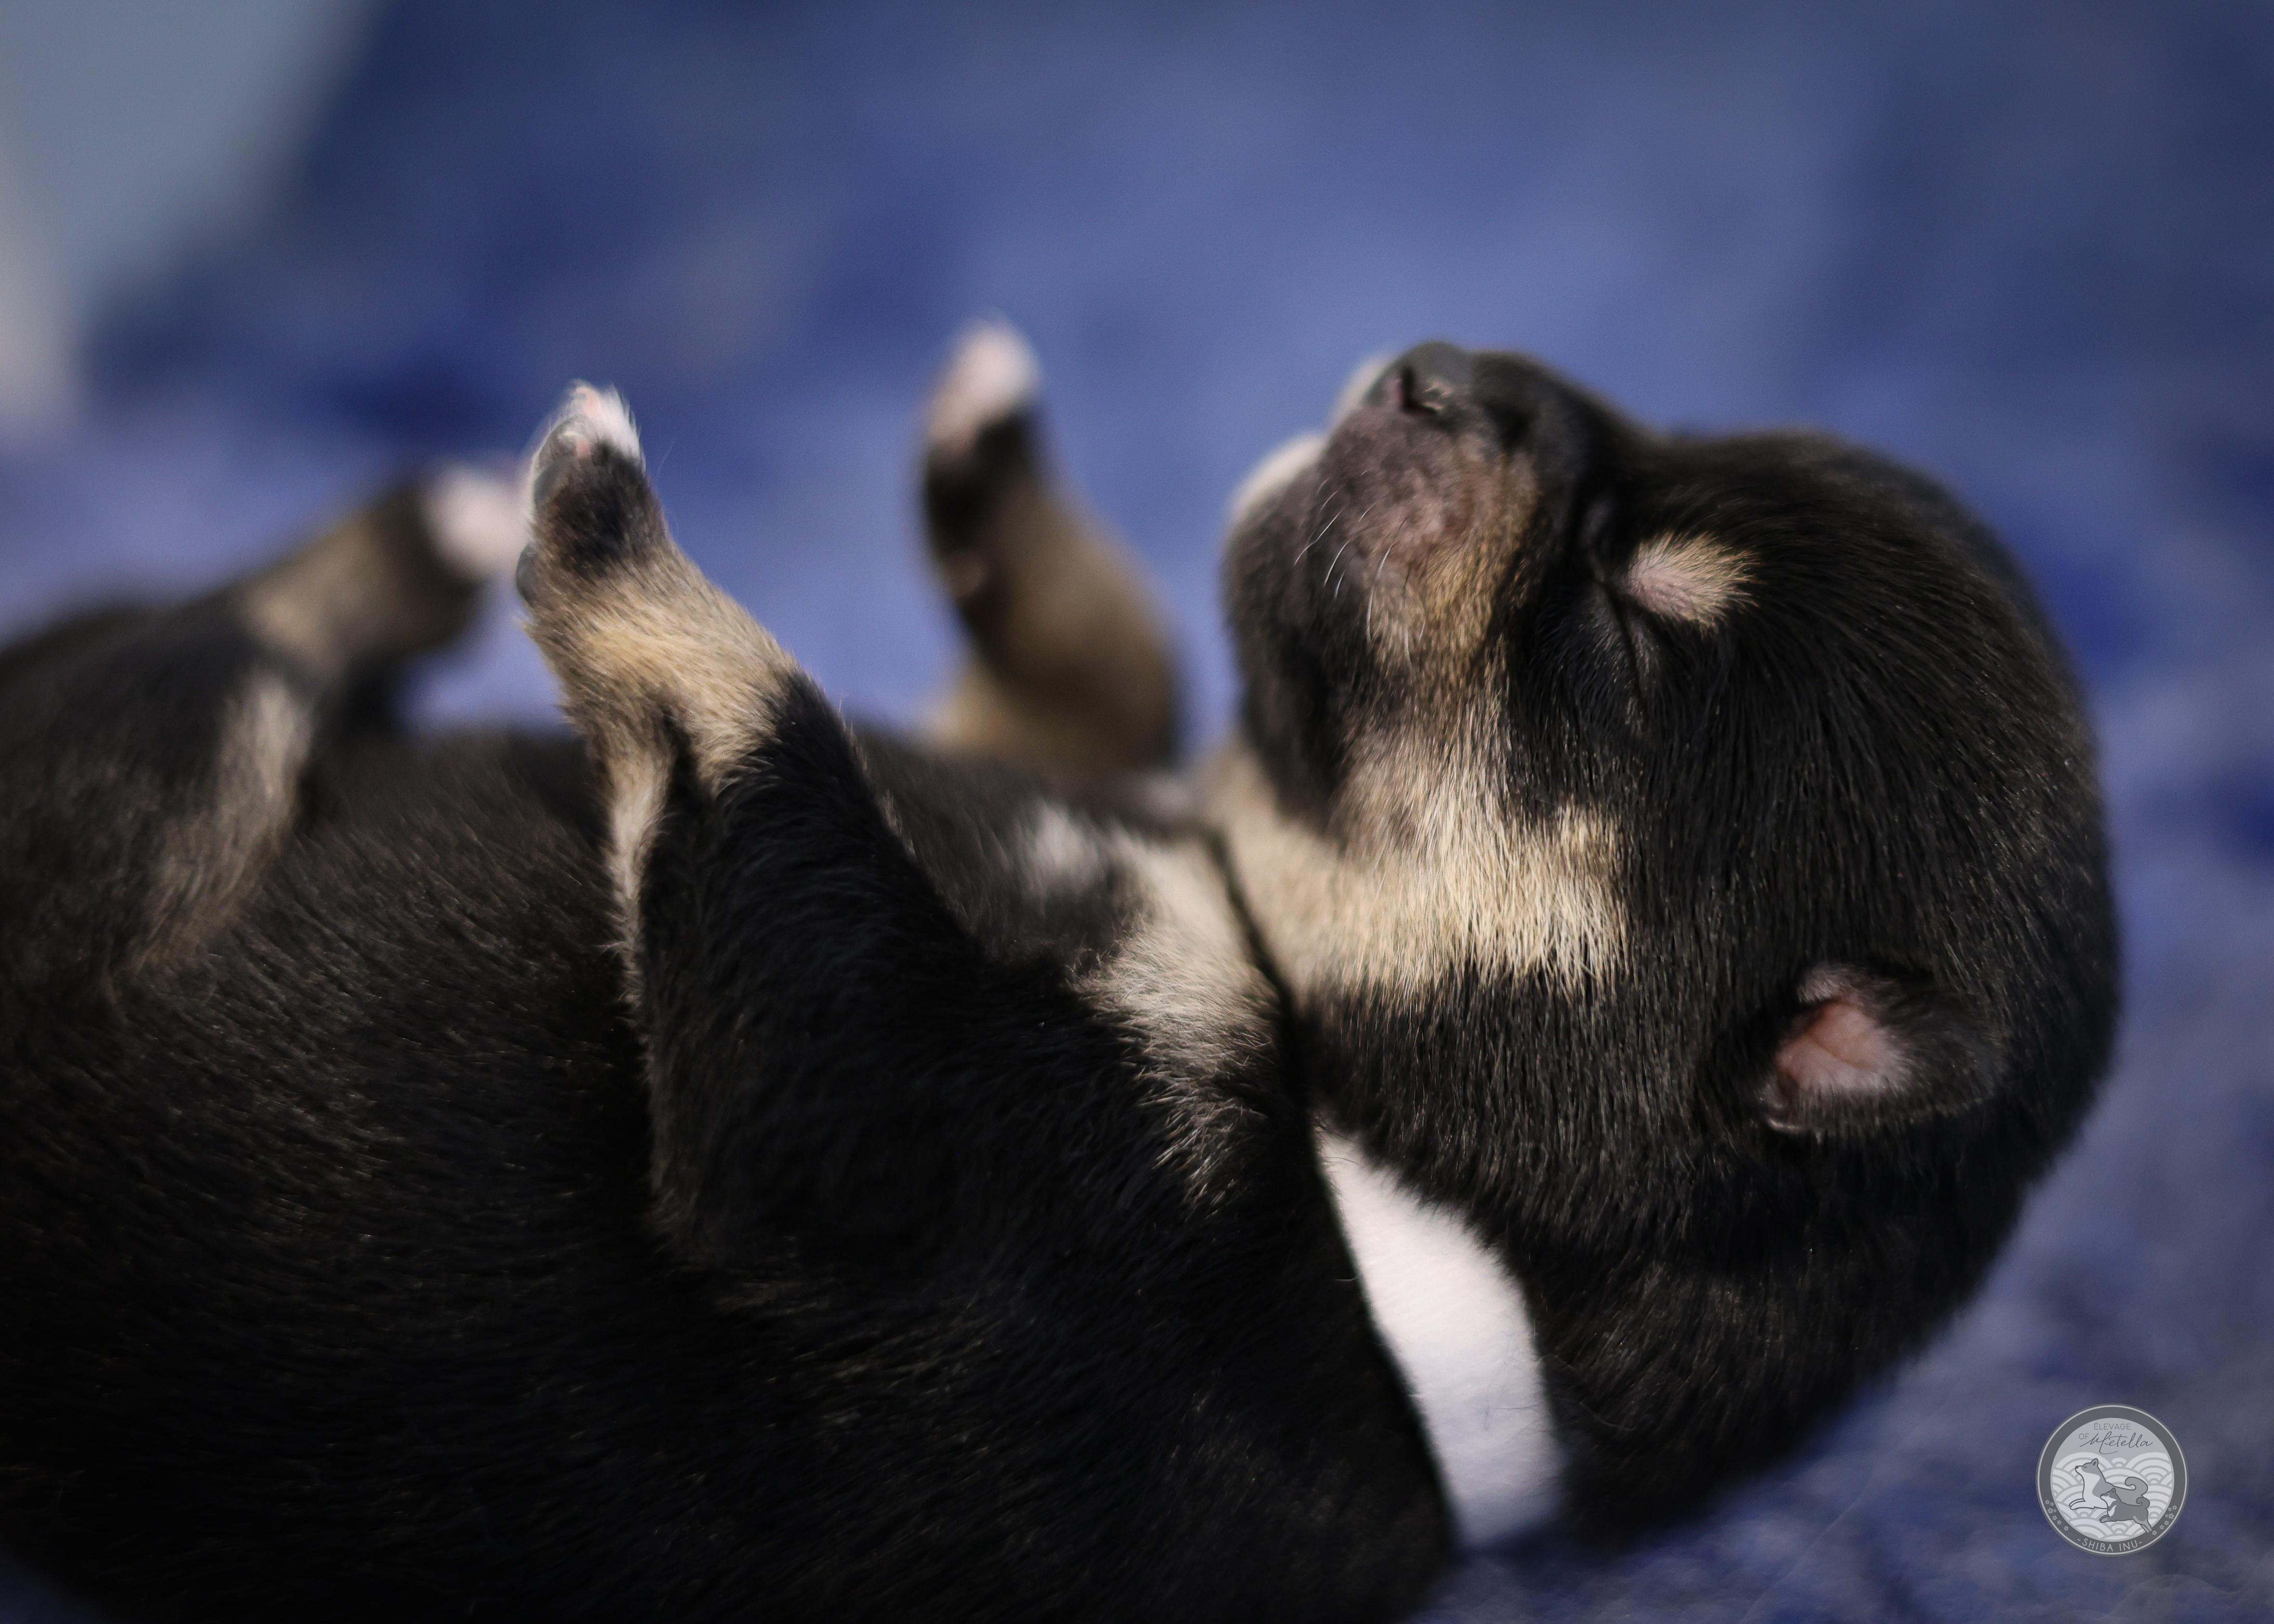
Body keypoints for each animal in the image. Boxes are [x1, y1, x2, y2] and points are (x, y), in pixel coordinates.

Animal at [0, 330, 2110, 1619]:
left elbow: (773, 746)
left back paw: (433, 540)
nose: (1442, 370)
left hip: (125, 813)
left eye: (1635, 620)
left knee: (227, 654)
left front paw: (612, 536)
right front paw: (991, 448)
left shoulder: (886, 1143)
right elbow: (1107, 669)